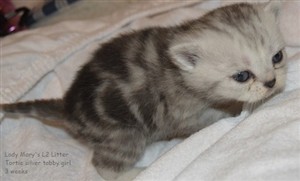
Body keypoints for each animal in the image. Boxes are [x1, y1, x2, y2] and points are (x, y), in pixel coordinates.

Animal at [0, 0, 286, 180]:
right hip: (123, 135)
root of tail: (68, 106)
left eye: (277, 57)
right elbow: (213, 118)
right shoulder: (184, 114)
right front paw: (237, 111)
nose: (271, 83)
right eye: (242, 76)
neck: (179, 71)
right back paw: (136, 173)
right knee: (104, 166)